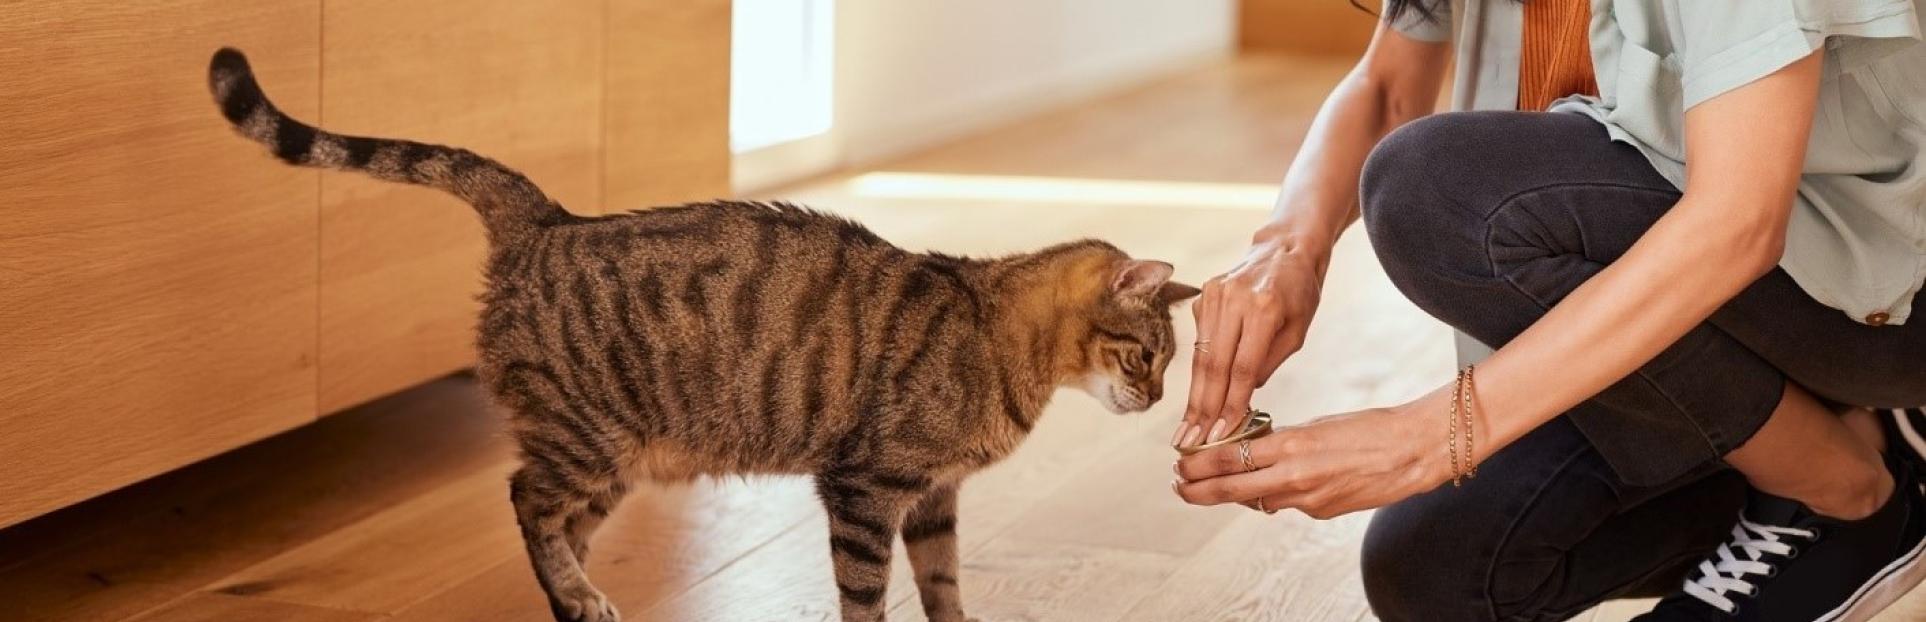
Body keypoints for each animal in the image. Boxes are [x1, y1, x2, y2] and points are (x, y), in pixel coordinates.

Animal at [214, 47, 1201, 622]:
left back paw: (580, 599)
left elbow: (945, 587)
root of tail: (549, 219)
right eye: (1146, 355)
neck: (999, 337)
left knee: (557, 523)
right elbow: (867, 594)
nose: (1156, 402)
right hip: (587, 437)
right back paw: (578, 596)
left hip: (618, 459)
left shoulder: (933, 498)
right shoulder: (865, 488)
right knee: (526, 500)